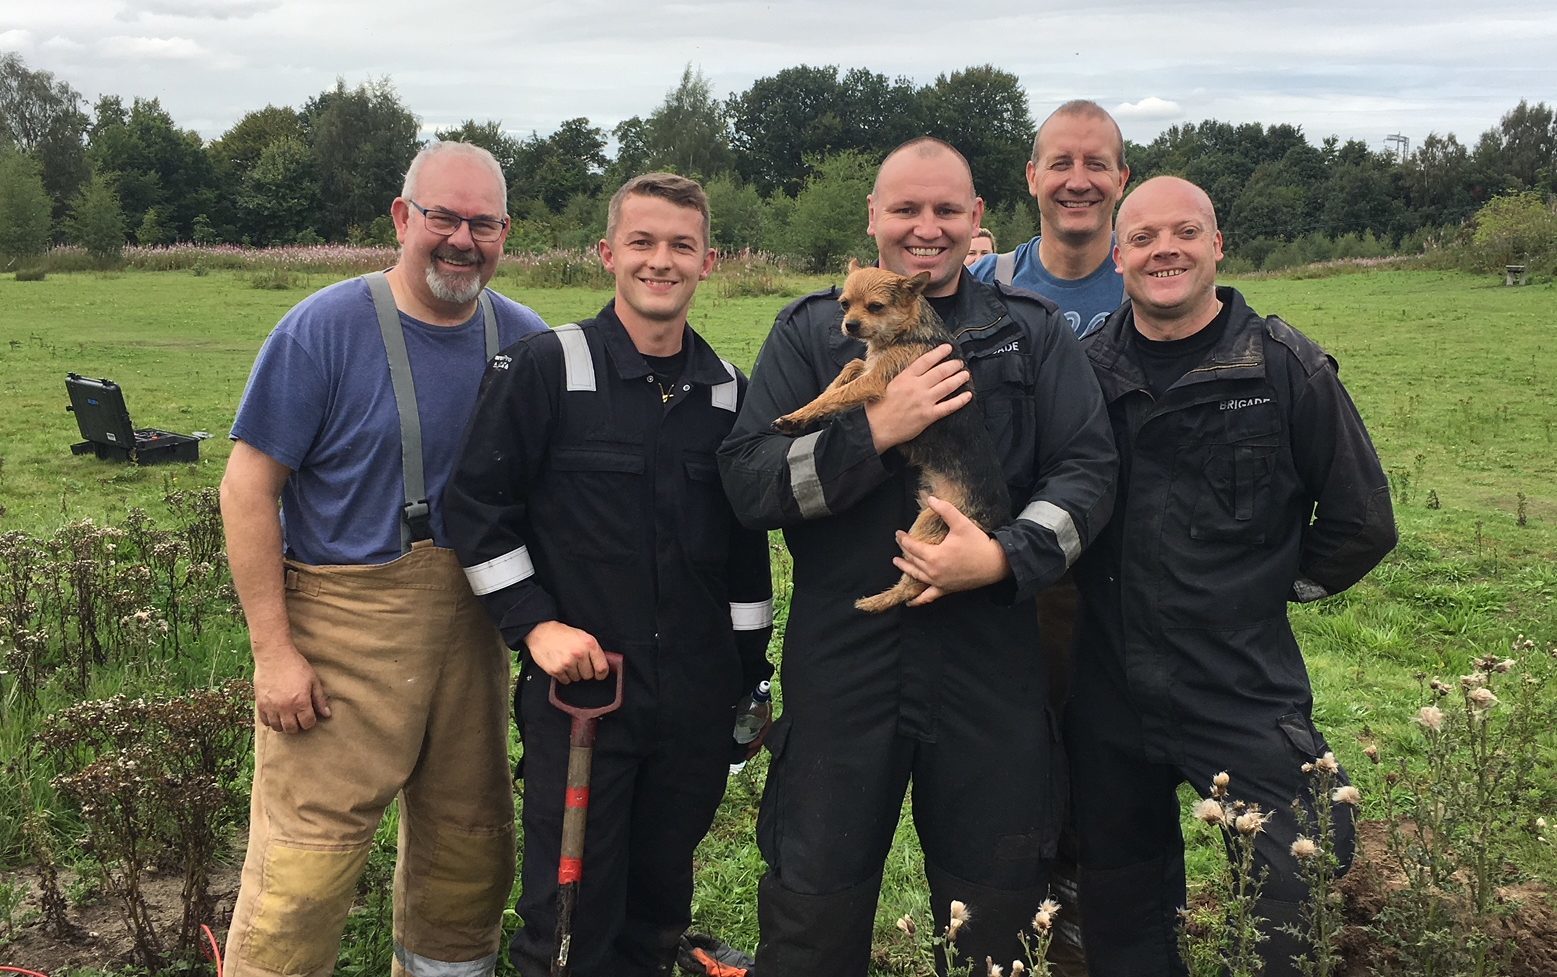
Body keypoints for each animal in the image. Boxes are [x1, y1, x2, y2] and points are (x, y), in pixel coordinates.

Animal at [775, 260, 1008, 610]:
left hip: (931, 523)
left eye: (876, 307)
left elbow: (839, 394)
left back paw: (877, 601)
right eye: (844, 304)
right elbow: (848, 369)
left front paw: (803, 414)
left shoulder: (876, 380)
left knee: (914, 585)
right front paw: (803, 412)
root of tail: (995, 518)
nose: (850, 325)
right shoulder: (869, 367)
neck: (905, 333)